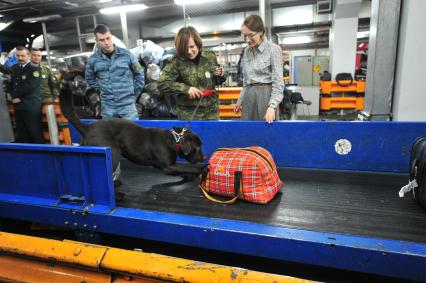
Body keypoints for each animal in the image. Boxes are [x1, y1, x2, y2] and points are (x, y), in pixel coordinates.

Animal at [59, 82, 206, 180]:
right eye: (197, 147)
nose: (204, 158)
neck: (174, 139)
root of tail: (88, 127)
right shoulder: (169, 166)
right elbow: (190, 167)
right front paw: (203, 169)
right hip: (113, 153)